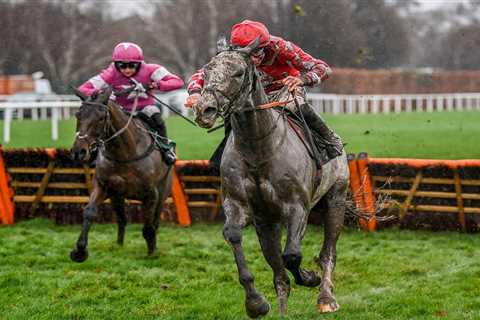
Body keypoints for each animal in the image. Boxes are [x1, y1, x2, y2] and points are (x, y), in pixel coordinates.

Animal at [68, 87, 172, 262]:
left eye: (101, 118)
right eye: (78, 114)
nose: (78, 152)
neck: (125, 153)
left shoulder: (151, 194)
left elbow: (149, 227)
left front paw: (152, 252)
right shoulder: (103, 185)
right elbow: (89, 212)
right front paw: (80, 251)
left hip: (164, 189)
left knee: (155, 221)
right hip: (117, 196)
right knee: (122, 219)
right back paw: (119, 245)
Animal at [193, 40, 350, 318]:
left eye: (239, 73)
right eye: (207, 69)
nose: (204, 109)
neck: (259, 149)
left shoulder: (297, 207)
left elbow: (293, 255)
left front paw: (309, 277)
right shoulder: (241, 206)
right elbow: (235, 236)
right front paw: (255, 303)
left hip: (336, 198)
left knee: (328, 252)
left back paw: (326, 297)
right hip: (268, 222)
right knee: (279, 274)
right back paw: (283, 310)